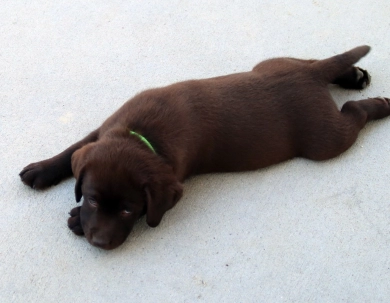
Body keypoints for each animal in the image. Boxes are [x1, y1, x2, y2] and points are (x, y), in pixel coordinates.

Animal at [19, 45, 390, 249]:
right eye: (93, 199)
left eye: (128, 210)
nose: (99, 243)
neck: (140, 136)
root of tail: (310, 79)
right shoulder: (106, 128)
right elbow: (73, 151)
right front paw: (40, 170)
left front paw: (75, 220)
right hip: (273, 64)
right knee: (312, 60)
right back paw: (354, 75)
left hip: (324, 138)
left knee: (353, 112)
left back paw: (379, 104)